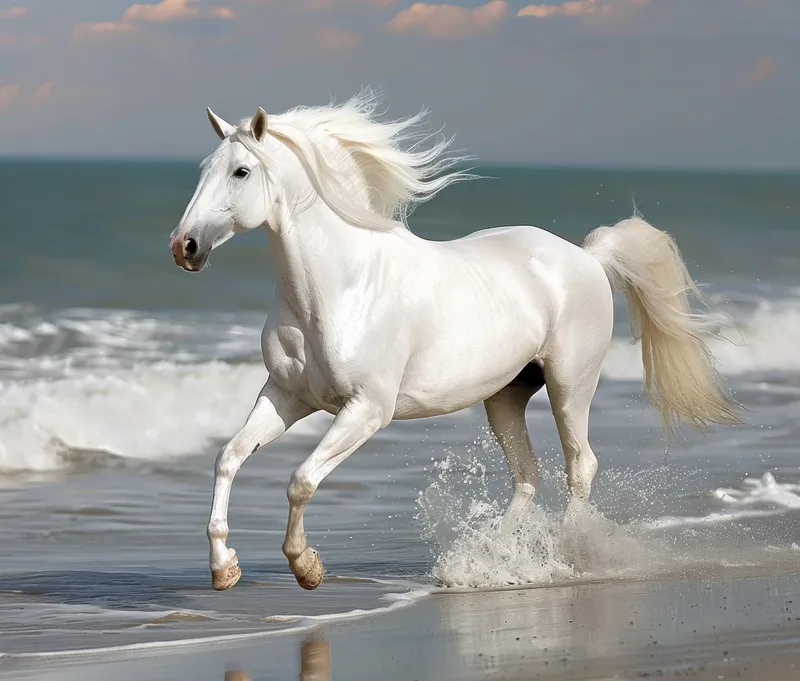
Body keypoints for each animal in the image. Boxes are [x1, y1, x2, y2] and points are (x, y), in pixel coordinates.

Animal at [168, 90, 740, 592]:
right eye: (204, 170)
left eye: (241, 172)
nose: (184, 246)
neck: (340, 287)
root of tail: (588, 256)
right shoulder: (287, 397)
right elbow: (229, 458)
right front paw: (224, 570)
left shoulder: (366, 410)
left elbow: (301, 480)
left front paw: (306, 567)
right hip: (505, 397)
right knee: (527, 475)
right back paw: (491, 560)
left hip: (570, 386)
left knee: (581, 465)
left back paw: (567, 555)